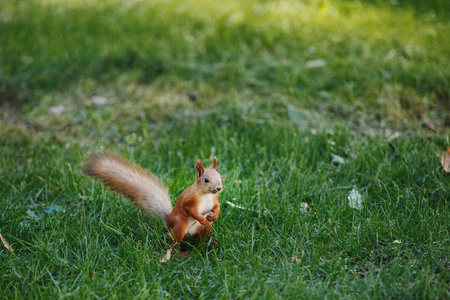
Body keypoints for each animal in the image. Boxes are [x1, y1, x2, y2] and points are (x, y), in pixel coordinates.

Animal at [83, 152, 223, 260]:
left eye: (220, 176)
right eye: (206, 180)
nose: (219, 188)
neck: (206, 194)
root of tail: (169, 223)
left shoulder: (214, 200)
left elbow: (217, 207)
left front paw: (214, 215)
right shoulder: (189, 200)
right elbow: (190, 209)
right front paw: (201, 218)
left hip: (205, 229)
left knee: (198, 240)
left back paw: (206, 245)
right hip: (180, 225)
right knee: (173, 242)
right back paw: (181, 253)